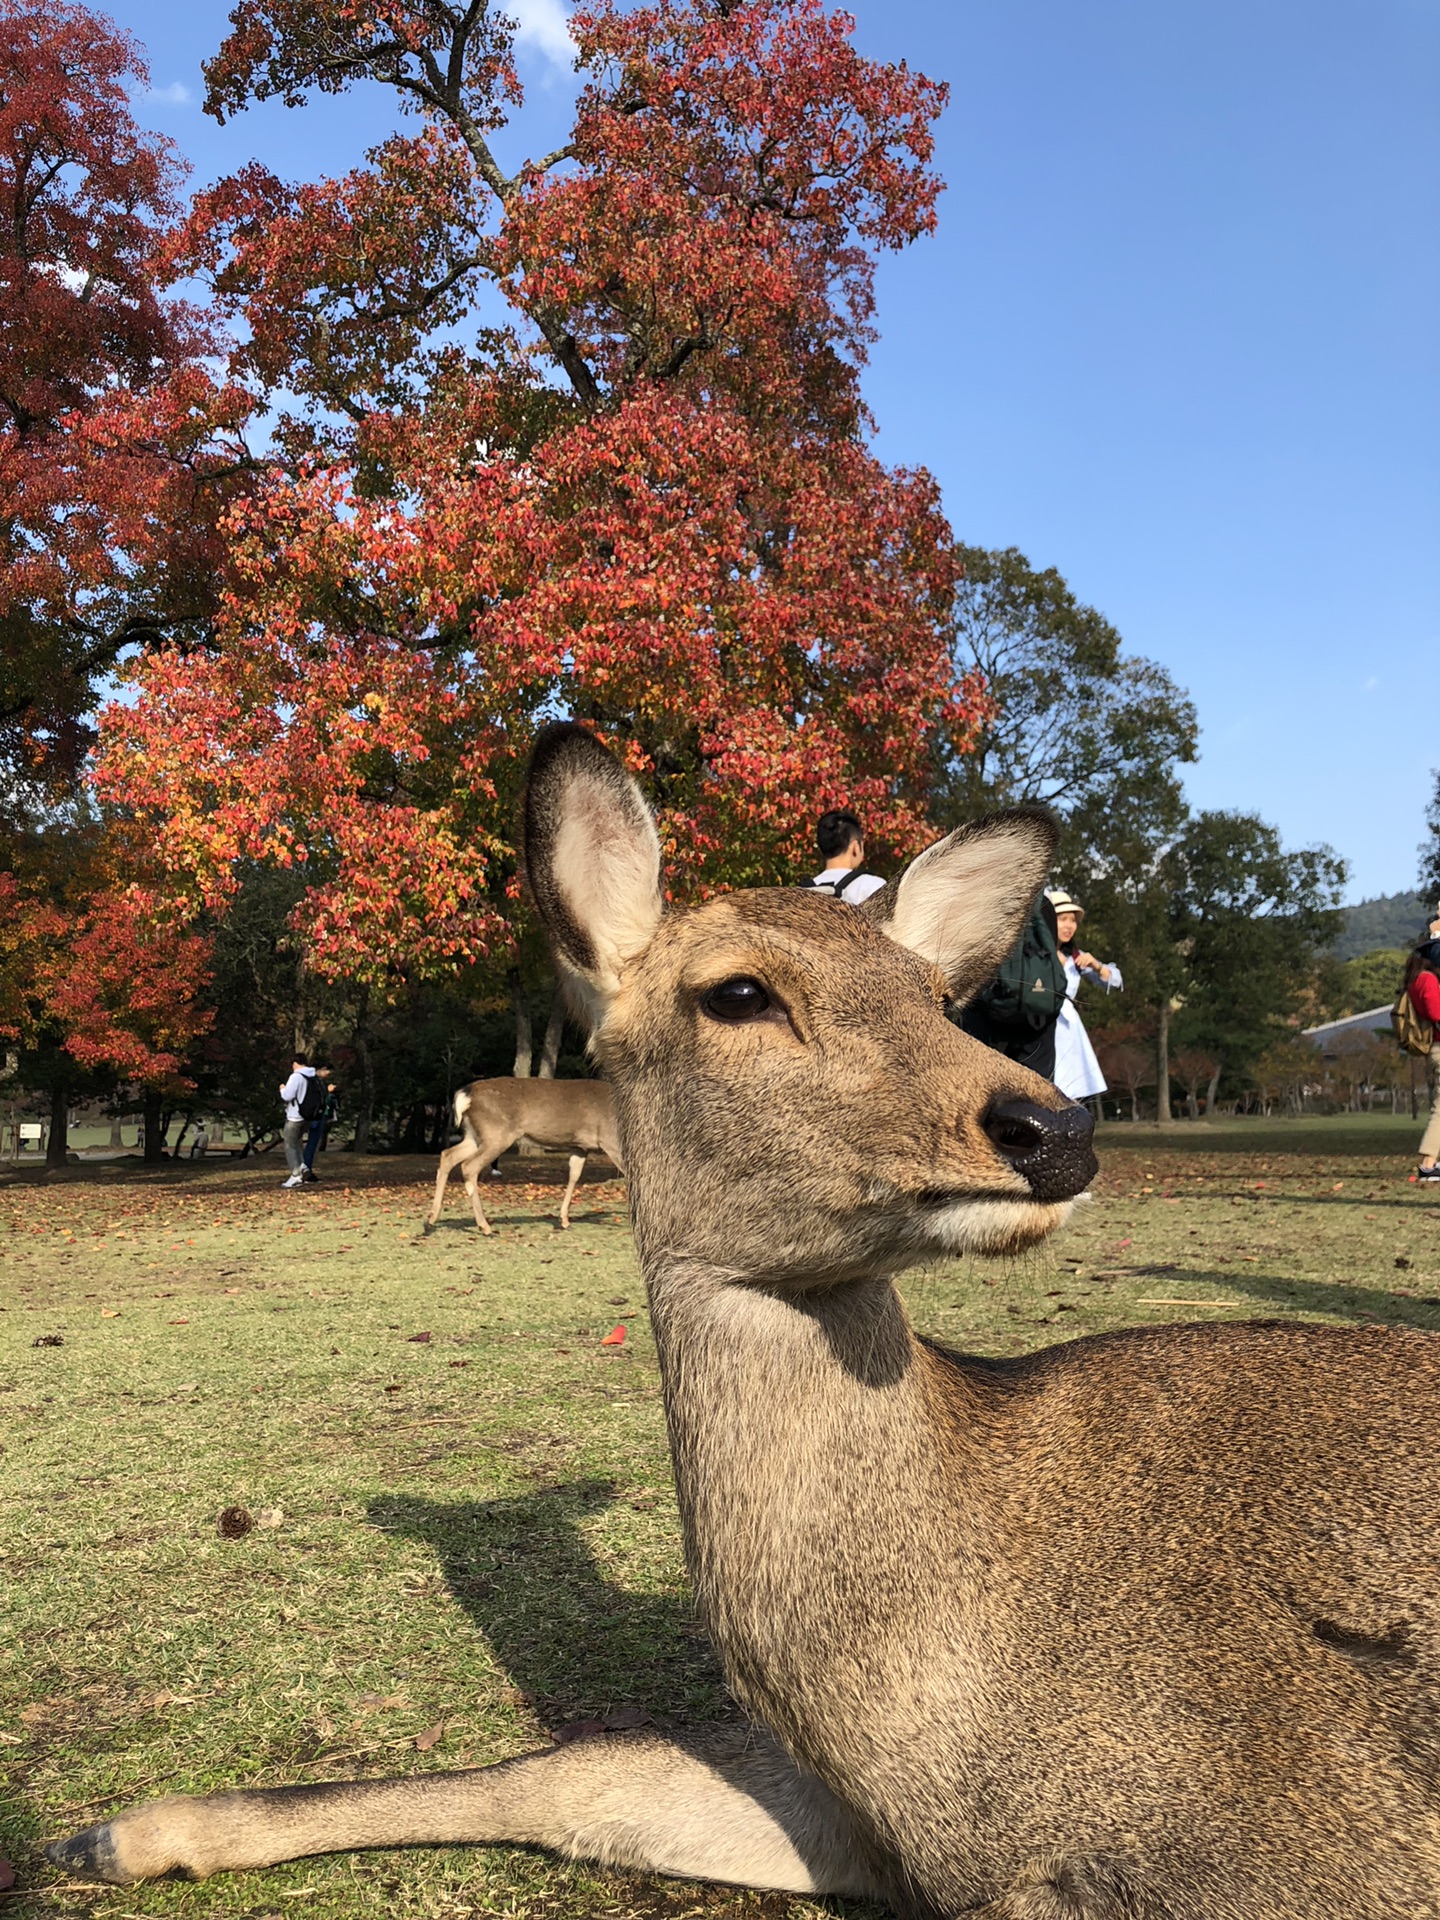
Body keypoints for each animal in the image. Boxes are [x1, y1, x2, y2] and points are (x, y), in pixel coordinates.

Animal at [416, 1075, 622, 1236]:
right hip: (497, 1133)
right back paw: (485, 1227)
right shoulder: (610, 1140)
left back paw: (430, 1221)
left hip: (474, 1135)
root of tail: (465, 1094)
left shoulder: (580, 1147)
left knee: (447, 1155)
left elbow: (574, 1175)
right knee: (469, 1166)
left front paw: (564, 1220)